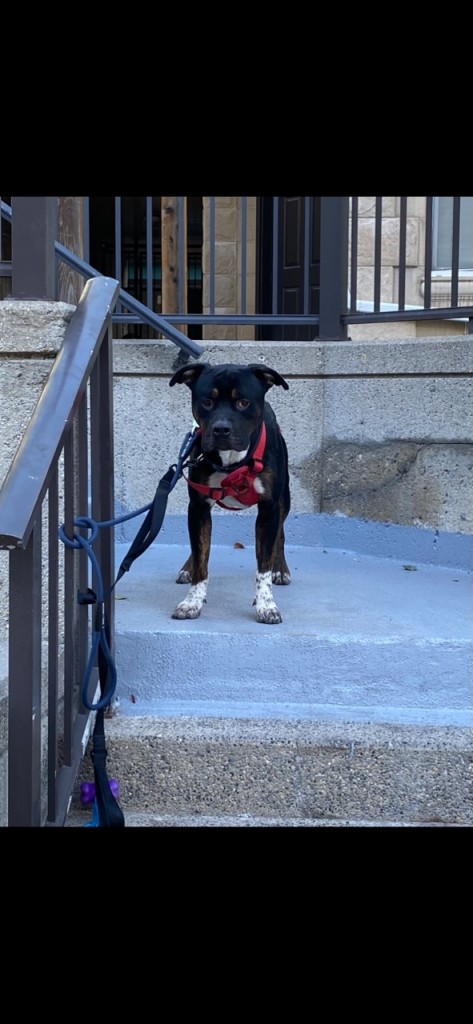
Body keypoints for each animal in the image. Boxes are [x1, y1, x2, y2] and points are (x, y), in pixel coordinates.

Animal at [169, 361, 291, 624]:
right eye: (207, 401)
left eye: (243, 403)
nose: (221, 429)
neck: (232, 463)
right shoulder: (198, 506)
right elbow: (201, 555)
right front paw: (192, 601)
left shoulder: (270, 508)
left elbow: (263, 565)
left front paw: (266, 604)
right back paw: (188, 567)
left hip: (284, 500)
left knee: (281, 534)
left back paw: (281, 569)